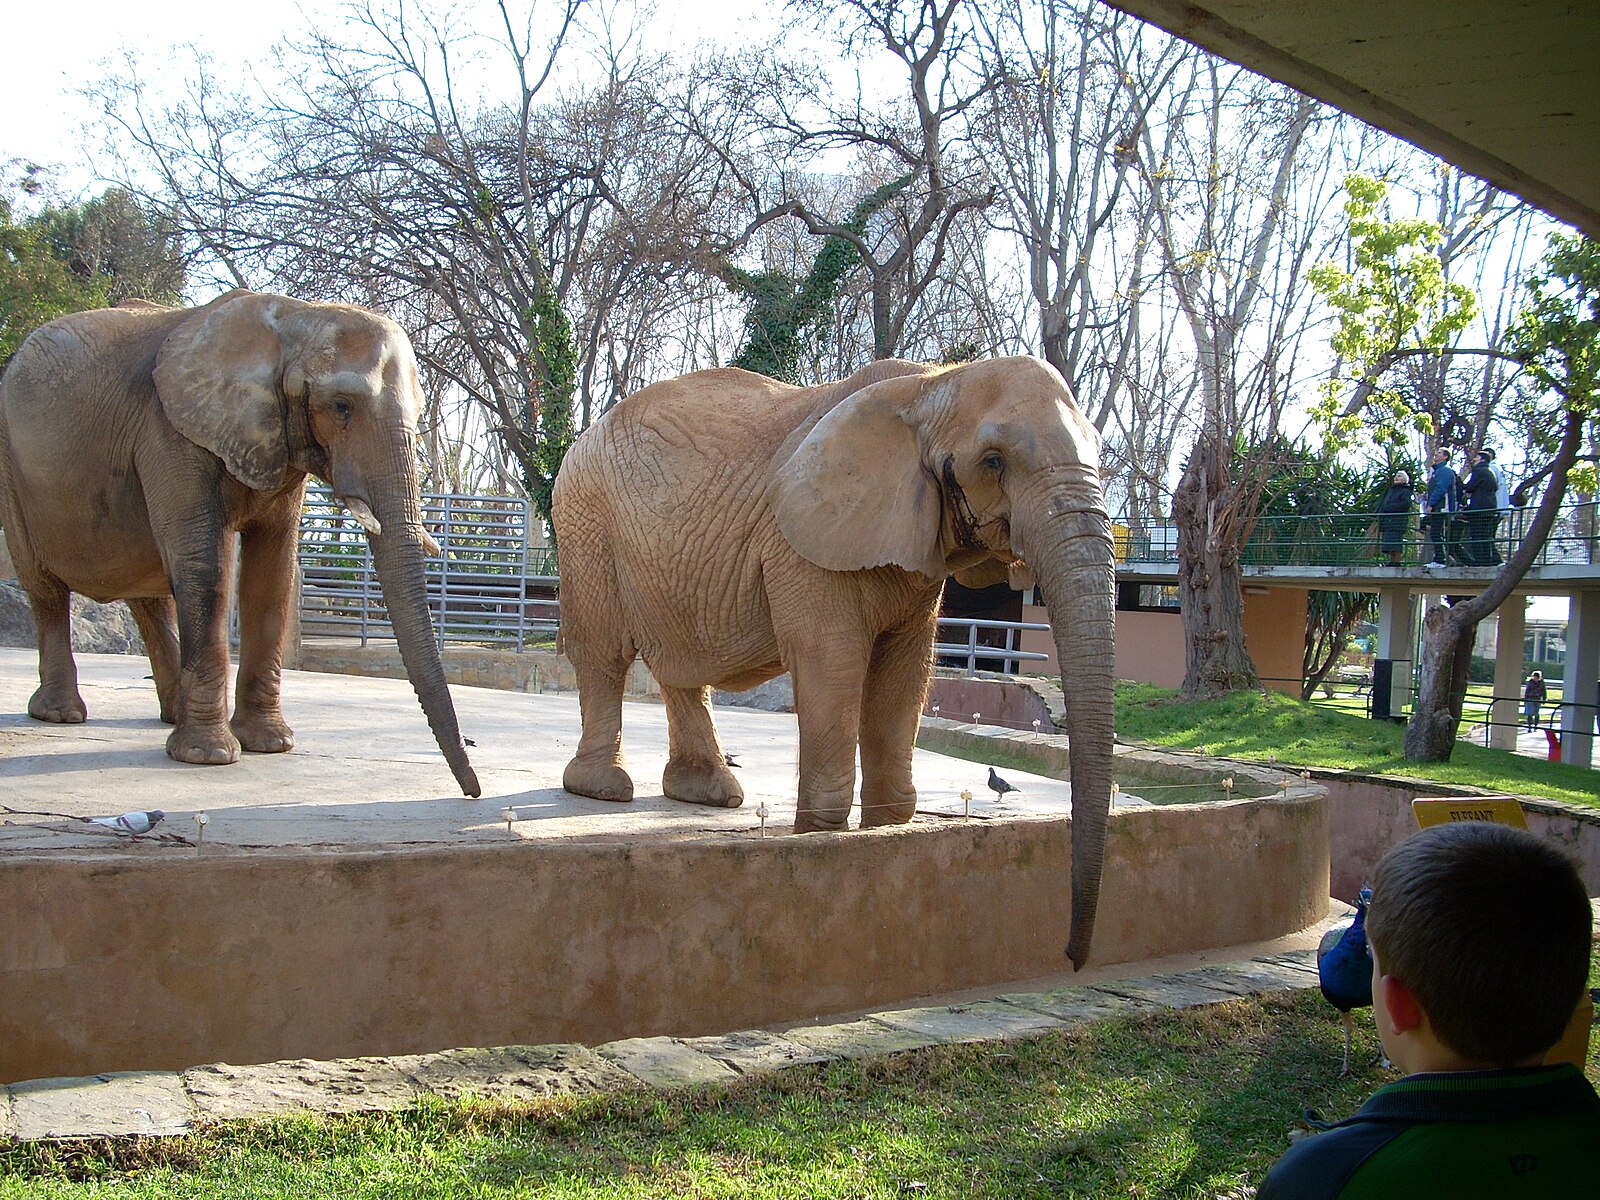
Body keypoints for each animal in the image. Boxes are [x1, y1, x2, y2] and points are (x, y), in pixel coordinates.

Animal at [0, 291, 480, 800]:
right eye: (341, 405)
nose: (471, 792)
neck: (294, 318)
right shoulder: (171, 432)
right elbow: (204, 565)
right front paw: (209, 756)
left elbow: (271, 573)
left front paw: (270, 745)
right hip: (12, 466)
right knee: (45, 588)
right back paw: (61, 713)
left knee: (149, 592)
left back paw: (171, 713)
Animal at [556, 356, 1120, 966]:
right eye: (994, 461)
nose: (1071, 956)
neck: (932, 383)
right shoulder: (804, 546)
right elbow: (830, 657)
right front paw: (815, 834)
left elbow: (906, 670)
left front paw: (885, 825)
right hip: (585, 523)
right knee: (605, 651)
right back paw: (603, 789)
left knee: (682, 668)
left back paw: (713, 796)